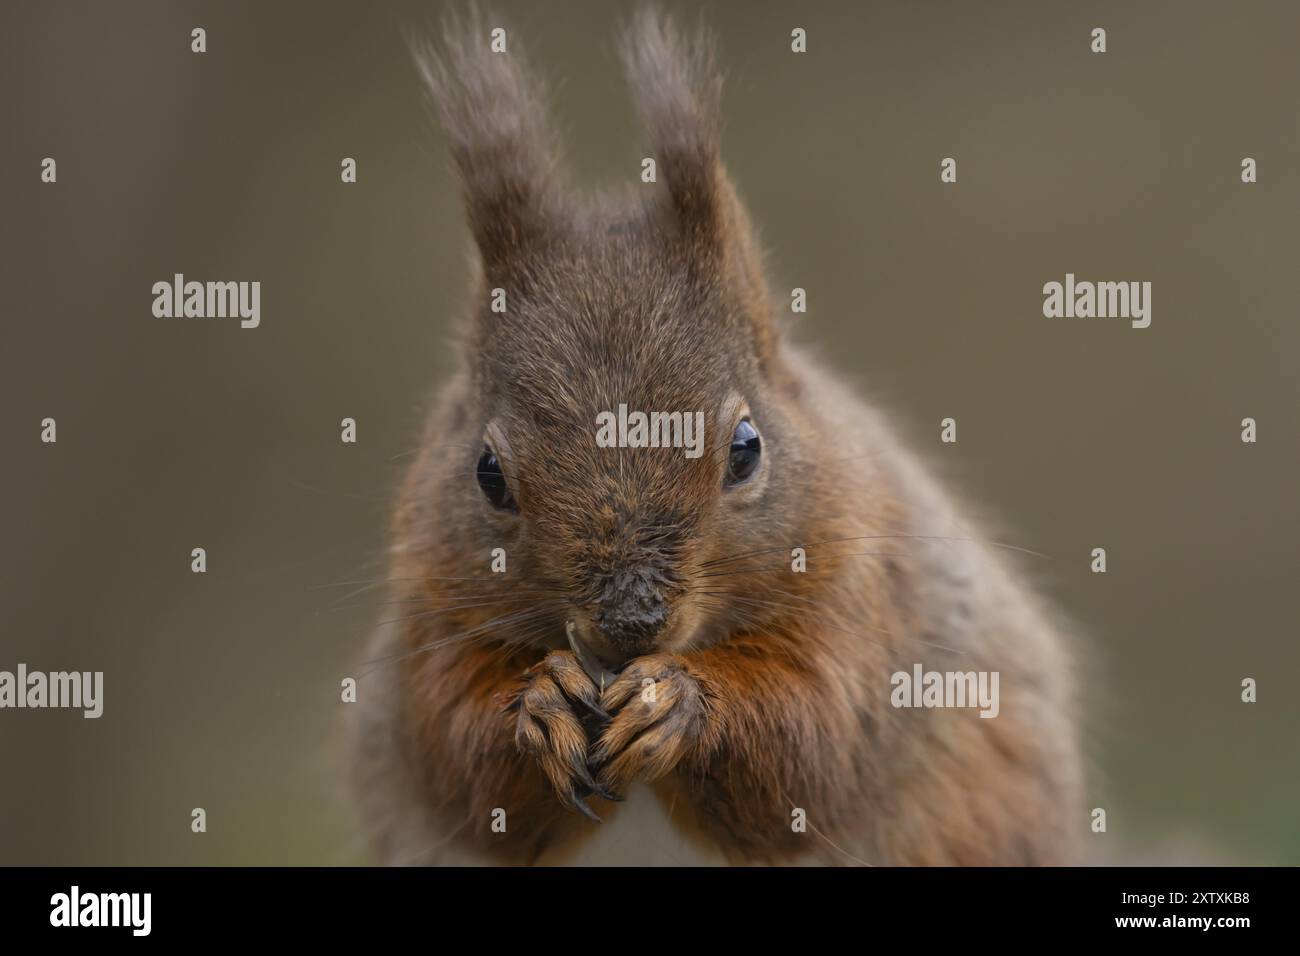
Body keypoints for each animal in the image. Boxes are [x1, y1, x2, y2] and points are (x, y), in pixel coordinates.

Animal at [348, 3, 1086, 863]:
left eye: (746, 449)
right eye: (488, 474)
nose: (629, 624)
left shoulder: (864, 598)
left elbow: (817, 733)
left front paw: (680, 703)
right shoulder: (428, 612)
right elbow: (451, 747)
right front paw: (541, 701)